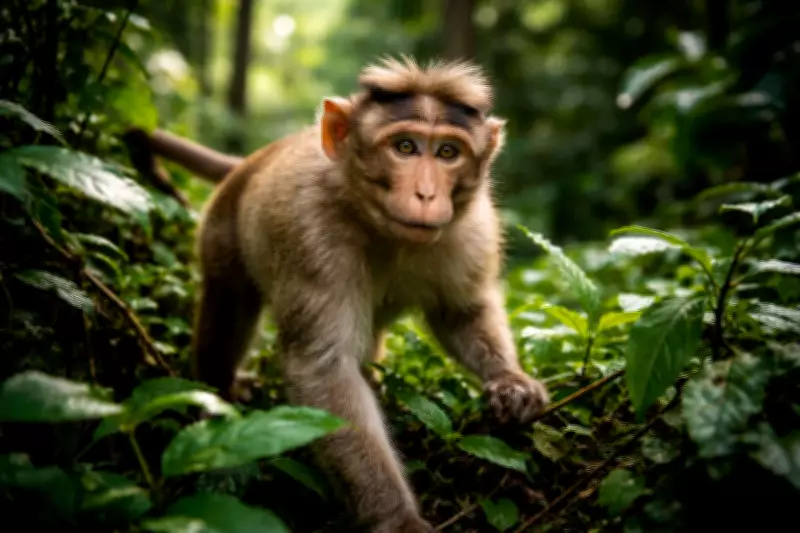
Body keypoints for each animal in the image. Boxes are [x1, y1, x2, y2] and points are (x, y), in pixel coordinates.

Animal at [129, 56, 549, 533]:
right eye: (405, 147)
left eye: (447, 152)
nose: (426, 193)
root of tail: (250, 161)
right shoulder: (314, 236)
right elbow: (323, 366)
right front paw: (397, 519)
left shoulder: (473, 230)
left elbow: (463, 311)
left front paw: (510, 382)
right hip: (220, 230)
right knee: (229, 305)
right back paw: (215, 393)